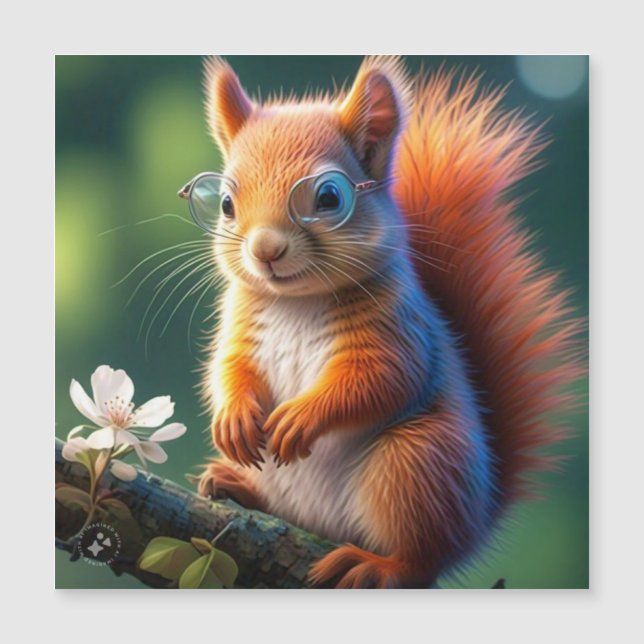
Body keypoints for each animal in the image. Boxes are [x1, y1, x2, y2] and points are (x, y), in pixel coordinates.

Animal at [193, 56, 582, 588]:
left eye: (329, 197)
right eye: (226, 204)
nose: (265, 251)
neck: (297, 301)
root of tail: (475, 527)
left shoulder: (399, 330)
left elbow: (379, 380)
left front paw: (302, 417)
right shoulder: (239, 328)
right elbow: (228, 371)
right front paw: (232, 416)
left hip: (416, 462)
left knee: (419, 557)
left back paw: (375, 564)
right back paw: (232, 483)